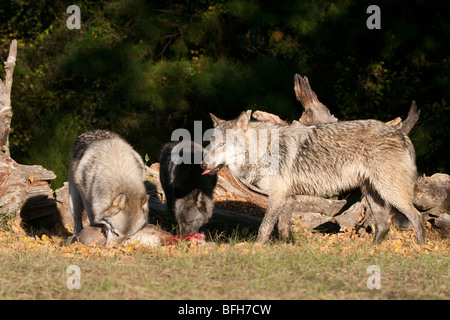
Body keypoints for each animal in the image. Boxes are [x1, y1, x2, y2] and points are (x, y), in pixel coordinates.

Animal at [200, 111, 426, 244]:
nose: (202, 165)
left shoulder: (278, 195)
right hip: (373, 195)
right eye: (210, 143)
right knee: (383, 226)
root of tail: (402, 134)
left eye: (222, 144)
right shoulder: (288, 197)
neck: (262, 149)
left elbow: (265, 227)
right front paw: (285, 247)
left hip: (390, 193)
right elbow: (283, 227)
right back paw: (372, 250)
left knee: (417, 217)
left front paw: (256, 248)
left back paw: (420, 248)